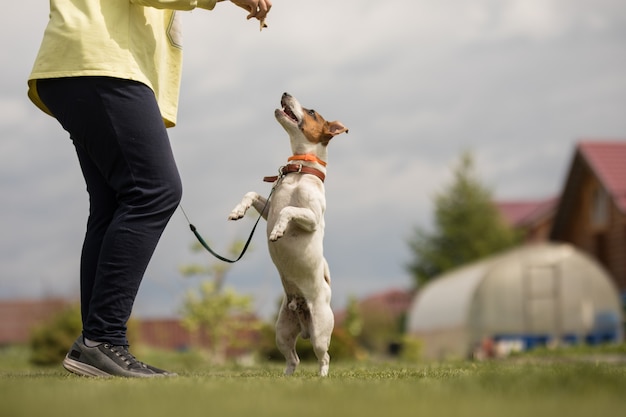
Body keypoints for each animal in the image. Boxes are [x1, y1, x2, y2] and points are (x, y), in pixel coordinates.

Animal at [228, 92, 348, 376]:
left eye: (312, 111)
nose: (285, 93)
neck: (300, 172)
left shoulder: (312, 219)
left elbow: (290, 210)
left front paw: (278, 231)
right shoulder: (269, 208)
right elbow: (252, 194)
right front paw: (238, 211)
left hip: (320, 331)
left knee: (324, 357)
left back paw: (322, 377)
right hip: (282, 331)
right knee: (294, 359)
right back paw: (286, 378)